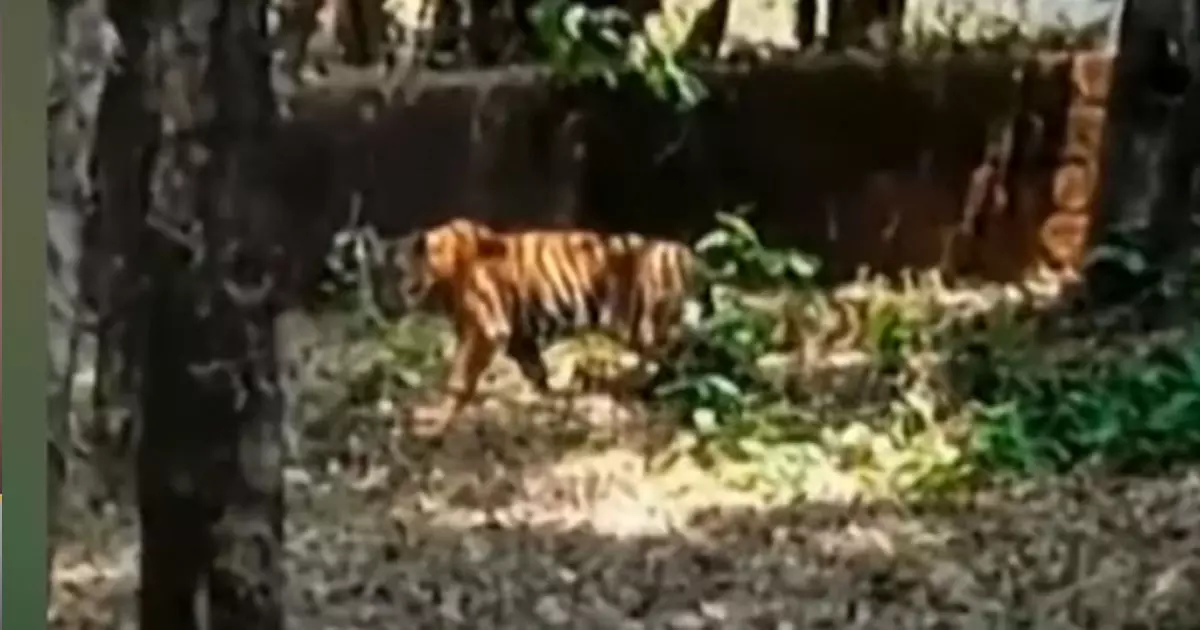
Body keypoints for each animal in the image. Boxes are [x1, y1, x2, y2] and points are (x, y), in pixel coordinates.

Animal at [365, 217, 705, 422]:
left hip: (650, 326)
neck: (440, 276)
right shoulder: (517, 335)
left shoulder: (486, 329)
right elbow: (536, 371)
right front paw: (549, 402)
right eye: (377, 275)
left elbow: (459, 379)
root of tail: (689, 255)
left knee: (681, 358)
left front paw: (435, 421)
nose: (383, 305)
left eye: (397, 274)